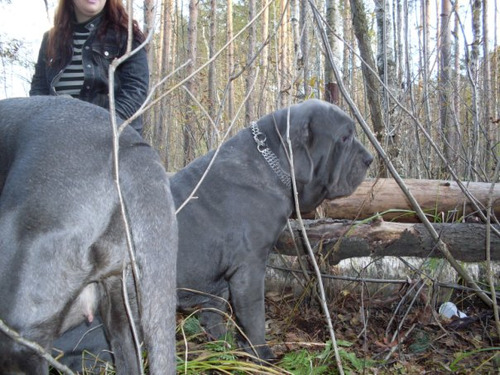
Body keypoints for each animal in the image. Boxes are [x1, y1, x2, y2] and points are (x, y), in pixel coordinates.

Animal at [55, 98, 372, 368]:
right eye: (345, 138)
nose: (369, 158)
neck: (272, 162)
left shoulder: (216, 284)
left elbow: (216, 316)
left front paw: (224, 351)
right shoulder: (249, 269)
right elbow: (253, 318)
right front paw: (262, 357)